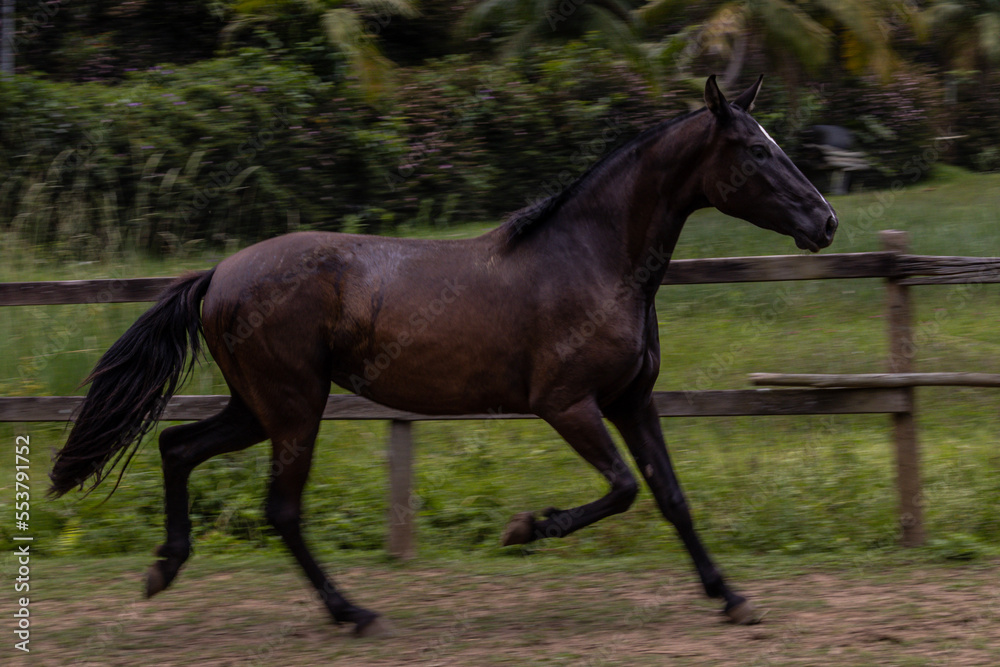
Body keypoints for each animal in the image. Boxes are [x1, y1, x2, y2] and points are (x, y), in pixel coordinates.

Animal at [50, 75, 840, 640]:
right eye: (757, 150)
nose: (826, 221)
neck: (594, 260)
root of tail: (218, 274)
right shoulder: (567, 405)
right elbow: (622, 488)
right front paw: (524, 528)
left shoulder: (631, 400)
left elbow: (671, 496)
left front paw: (733, 598)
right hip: (295, 407)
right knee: (280, 507)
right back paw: (353, 613)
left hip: (258, 407)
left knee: (178, 447)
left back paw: (164, 569)